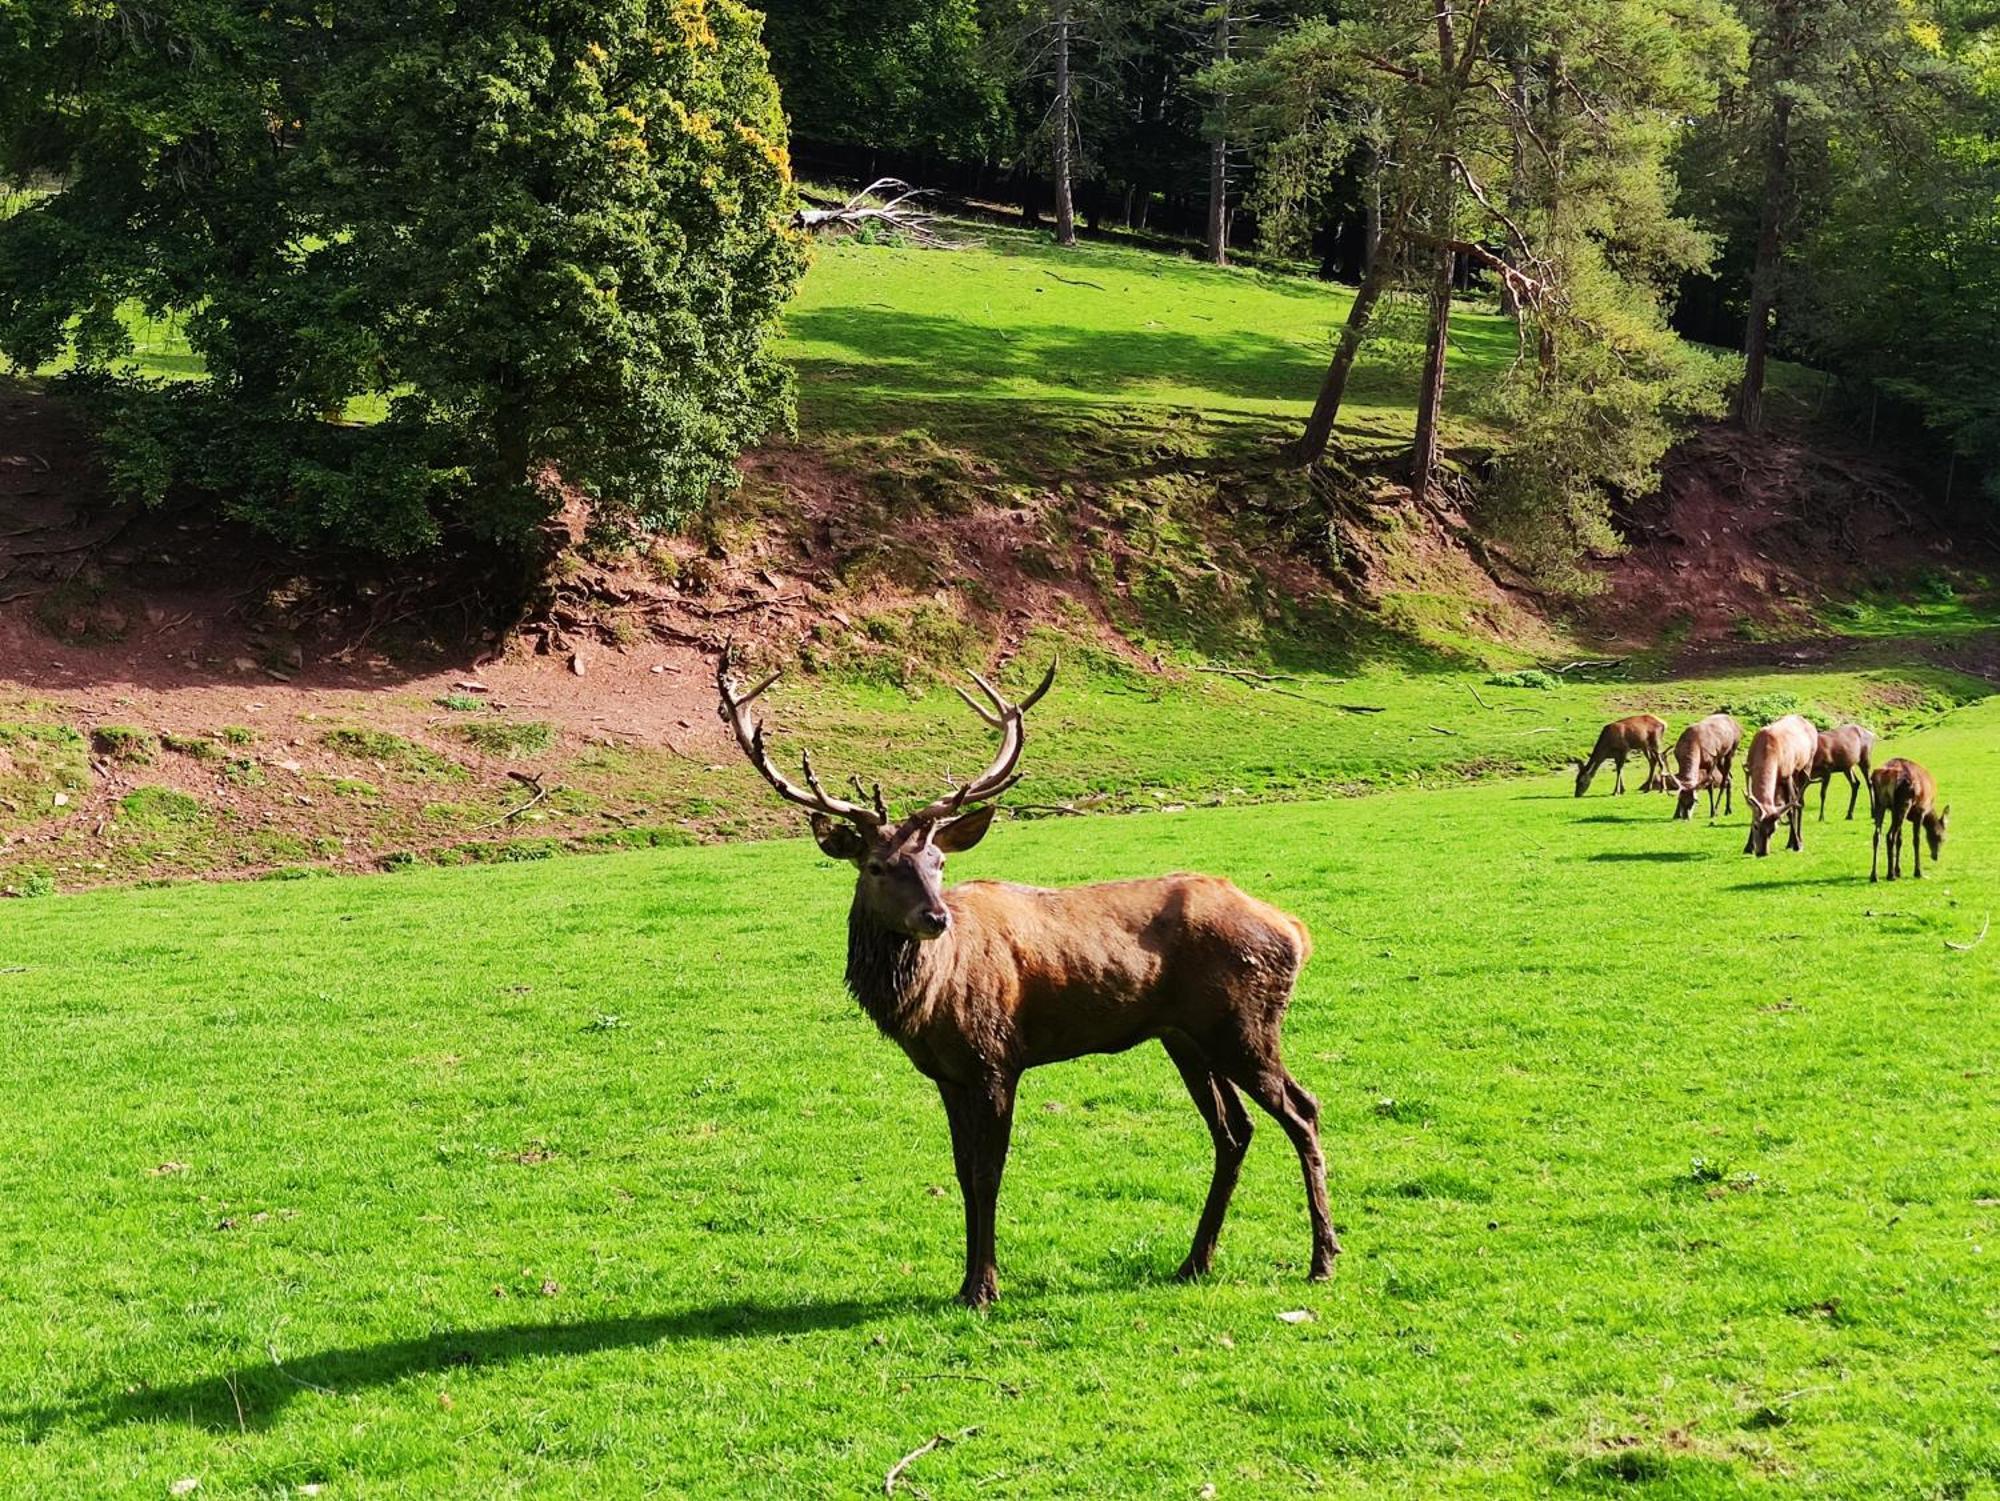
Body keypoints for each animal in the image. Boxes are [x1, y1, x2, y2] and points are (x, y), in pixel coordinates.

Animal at [712, 652, 1336, 1312]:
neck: (928, 1002)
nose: (935, 917)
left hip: (1244, 1025)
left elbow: (989, 1172)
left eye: (938, 862)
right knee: (1233, 1131)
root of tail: (1296, 931)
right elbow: (962, 1171)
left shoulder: (996, 1058)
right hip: (1187, 1038)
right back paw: (1195, 1261)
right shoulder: (947, 1073)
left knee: (1302, 1110)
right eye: (878, 866)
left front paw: (983, 1287)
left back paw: (1322, 1259)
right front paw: (966, 1281)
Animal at [1744, 716, 1824, 856]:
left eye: (1773, 829)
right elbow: (1754, 809)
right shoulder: (1752, 773)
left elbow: (1790, 810)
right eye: (1756, 826)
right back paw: (1791, 841)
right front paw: (1748, 847)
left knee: (1799, 802)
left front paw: (1797, 845)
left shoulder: (1786, 775)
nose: (1763, 852)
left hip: (1806, 765)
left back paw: (1798, 839)